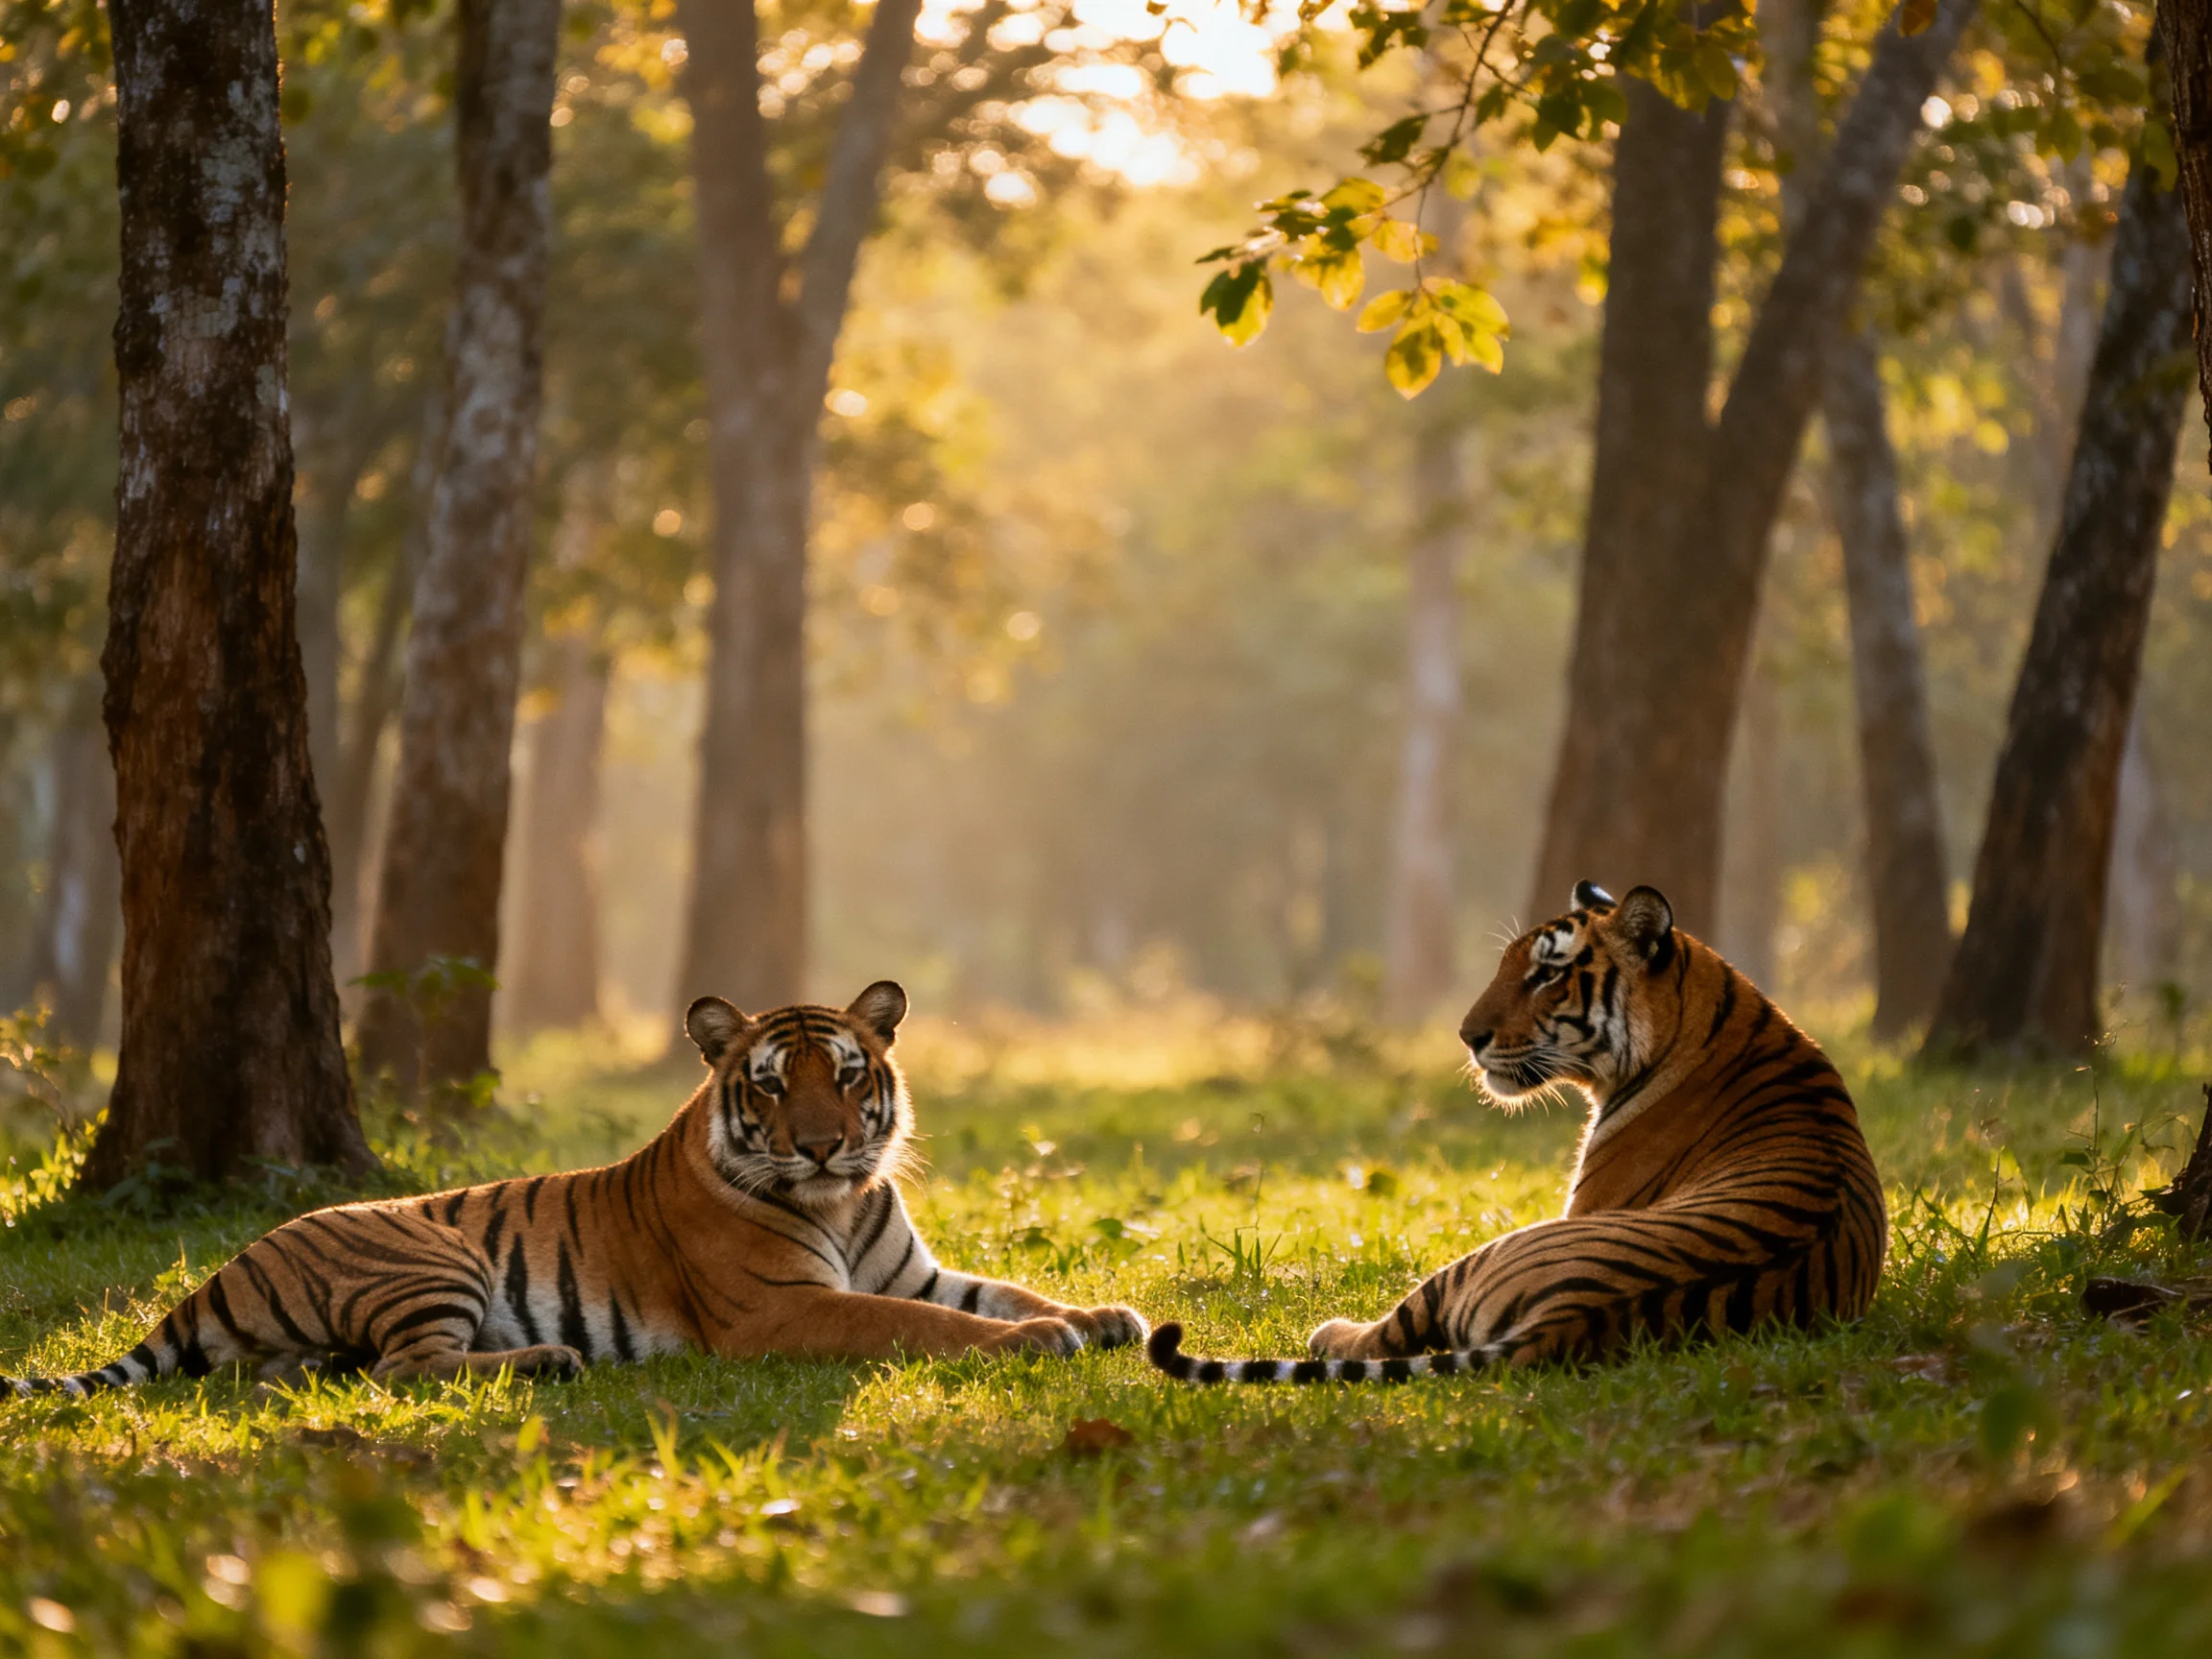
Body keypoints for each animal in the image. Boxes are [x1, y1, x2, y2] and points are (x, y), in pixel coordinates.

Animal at [5, 981, 1146, 1397]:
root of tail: (228, 1264)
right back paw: (549, 1360)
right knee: (403, 1369)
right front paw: (1044, 1341)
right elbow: (932, 1328)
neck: (845, 1200)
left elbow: (1002, 1291)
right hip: (434, 1256)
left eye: (849, 1074)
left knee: (332, 1371)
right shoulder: (783, 1311)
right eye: (773, 1086)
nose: (822, 1146)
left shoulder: (912, 1271)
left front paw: (1105, 1315)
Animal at [1148, 882, 1886, 1383]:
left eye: (1548, 973)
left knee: (1387, 1334)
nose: (1466, 1036)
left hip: (1481, 1257)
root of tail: (1566, 1320)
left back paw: (1330, 1331)